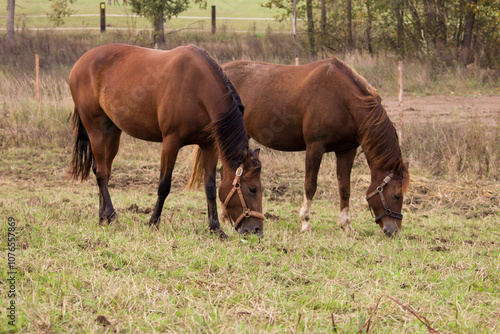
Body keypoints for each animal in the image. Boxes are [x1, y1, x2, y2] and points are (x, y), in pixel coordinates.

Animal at [70, 44, 268, 236]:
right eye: (252, 189)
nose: (256, 231)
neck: (197, 89)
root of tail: (81, 62)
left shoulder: (209, 146)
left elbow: (210, 187)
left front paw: (216, 228)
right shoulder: (171, 143)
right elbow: (164, 186)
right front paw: (153, 222)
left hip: (112, 130)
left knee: (102, 169)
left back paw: (102, 216)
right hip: (95, 127)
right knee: (102, 173)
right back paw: (111, 215)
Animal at [224, 57, 410, 236]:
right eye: (395, 195)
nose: (394, 231)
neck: (343, 100)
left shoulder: (347, 150)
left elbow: (345, 188)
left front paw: (346, 226)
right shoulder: (315, 147)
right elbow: (310, 185)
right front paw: (305, 223)